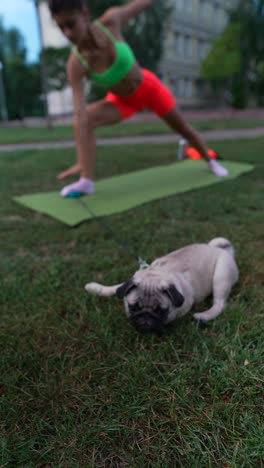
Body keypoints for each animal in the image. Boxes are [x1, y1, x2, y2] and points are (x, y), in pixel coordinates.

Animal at [85, 238, 239, 332]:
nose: (146, 318)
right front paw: (95, 288)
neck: (156, 274)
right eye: (133, 307)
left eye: (160, 311)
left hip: (221, 276)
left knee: (219, 304)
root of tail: (223, 251)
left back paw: (204, 316)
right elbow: (115, 288)